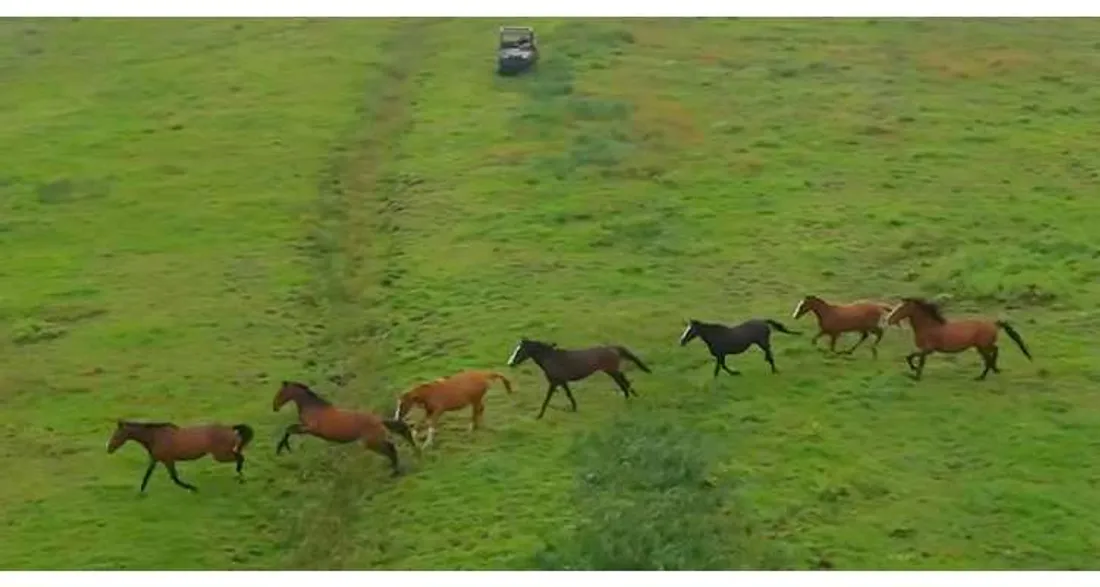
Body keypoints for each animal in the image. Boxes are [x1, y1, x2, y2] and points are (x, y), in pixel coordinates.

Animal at [106, 420, 254, 493]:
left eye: (116, 434)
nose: (109, 449)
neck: (155, 437)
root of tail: (230, 428)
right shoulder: (156, 460)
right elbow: (147, 475)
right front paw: (141, 491)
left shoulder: (168, 460)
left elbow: (175, 478)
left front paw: (193, 488)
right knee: (240, 456)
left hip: (220, 455)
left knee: (240, 457)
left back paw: (241, 477)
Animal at [272, 380, 419, 477]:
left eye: (280, 393)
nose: (275, 407)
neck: (313, 408)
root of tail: (378, 420)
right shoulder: (307, 428)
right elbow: (289, 429)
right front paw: (282, 449)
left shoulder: (311, 429)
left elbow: (289, 429)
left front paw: (282, 448)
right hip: (375, 441)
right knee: (392, 448)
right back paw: (396, 470)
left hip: (371, 443)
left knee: (390, 451)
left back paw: (395, 472)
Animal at [506, 338, 651, 420]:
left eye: (519, 351)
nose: (510, 363)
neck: (551, 358)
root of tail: (612, 348)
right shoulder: (562, 382)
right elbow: (569, 395)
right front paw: (574, 408)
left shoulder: (555, 382)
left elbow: (547, 399)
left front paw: (539, 416)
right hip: (612, 371)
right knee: (624, 381)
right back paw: (632, 397)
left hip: (612, 371)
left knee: (623, 383)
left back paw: (628, 399)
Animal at [885, 297, 1033, 381]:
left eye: (901, 308)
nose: (888, 320)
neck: (929, 326)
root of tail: (994, 323)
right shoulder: (925, 350)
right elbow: (911, 357)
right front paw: (914, 371)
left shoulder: (928, 349)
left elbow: (917, 360)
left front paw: (916, 376)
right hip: (981, 346)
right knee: (992, 353)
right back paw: (990, 371)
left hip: (983, 345)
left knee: (991, 355)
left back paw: (983, 376)